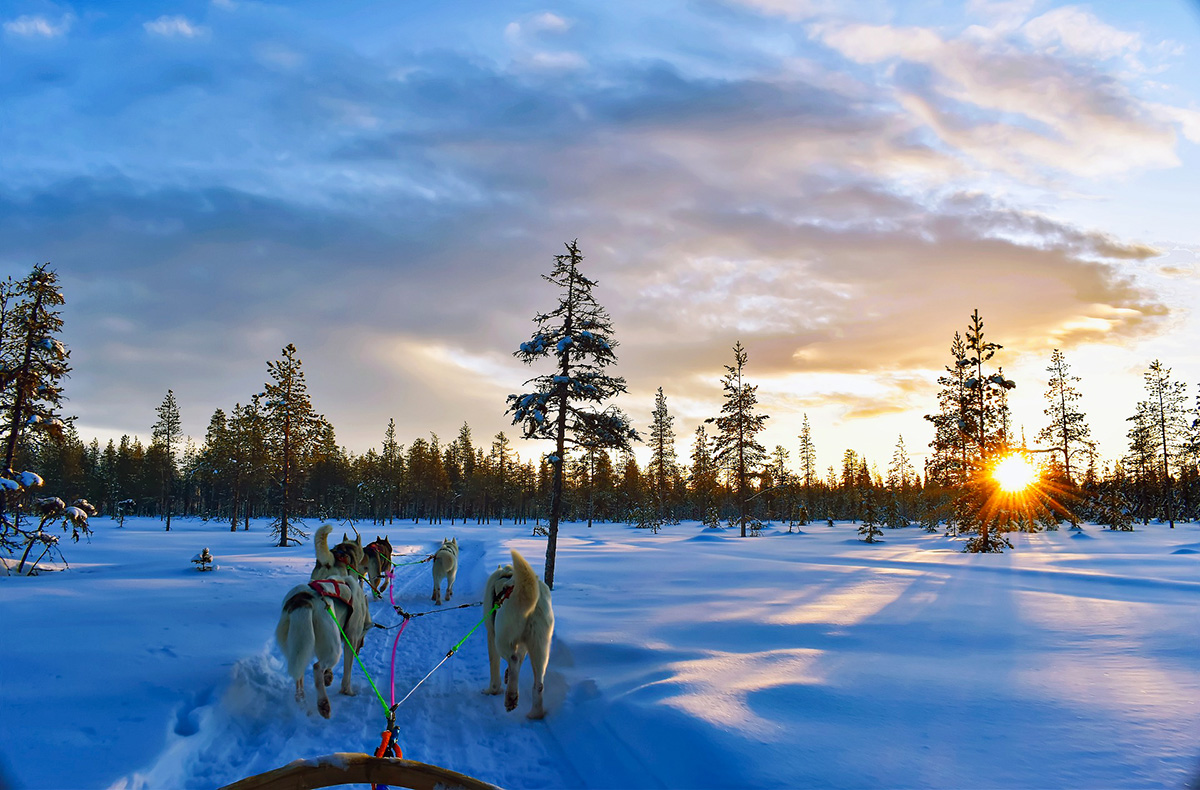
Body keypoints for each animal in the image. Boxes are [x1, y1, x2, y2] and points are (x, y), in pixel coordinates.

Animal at [278, 525, 372, 715]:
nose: (360, 648)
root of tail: (302, 600)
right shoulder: (350, 639)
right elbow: (347, 673)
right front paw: (347, 691)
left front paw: (329, 677)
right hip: (333, 647)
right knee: (316, 667)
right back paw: (323, 704)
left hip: (298, 645)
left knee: (300, 673)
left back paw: (301, 699)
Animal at [482, 549, 552, 715]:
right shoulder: (523, 643)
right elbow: (520, 657)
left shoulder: (491, 635)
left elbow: (495, 666)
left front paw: (492, 690)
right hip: (540, 646)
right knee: (538, 683)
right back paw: (535, 714)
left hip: (501, 639)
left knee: (513, 659)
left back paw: (511, 696)